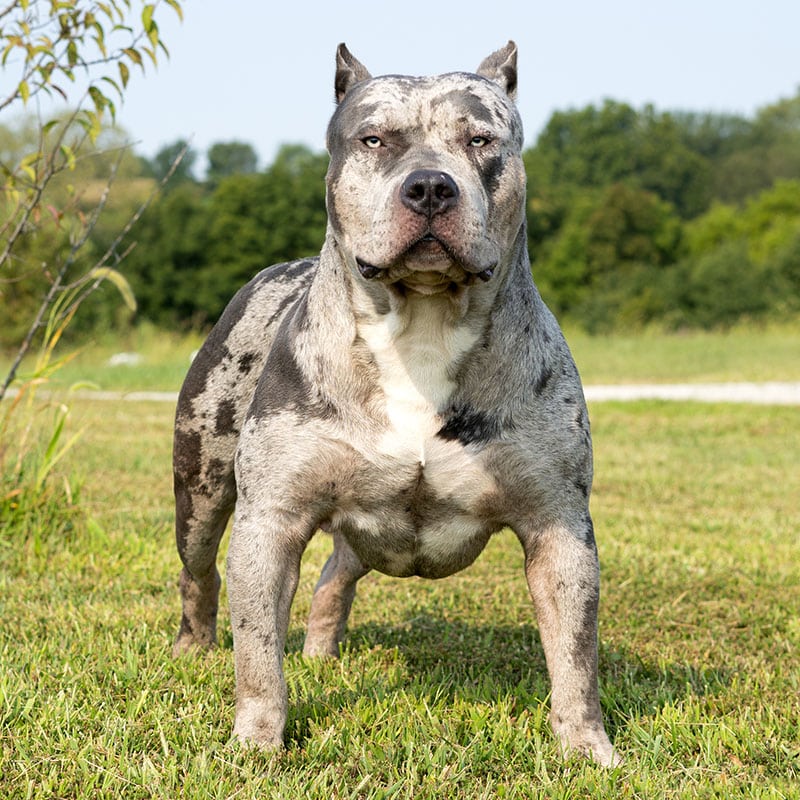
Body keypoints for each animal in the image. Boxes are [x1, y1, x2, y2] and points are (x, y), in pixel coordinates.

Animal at [170, 43, 620, 768]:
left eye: (480, 140)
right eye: (374, 139)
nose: (431, 186)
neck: (423, 324)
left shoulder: (558, 528)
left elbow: (575, 656)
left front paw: (586, 749)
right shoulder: (270, 521)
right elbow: (258, 653)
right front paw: (258, 742)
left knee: (335, 573)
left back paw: (321, 653)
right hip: (203, 485)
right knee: (200, 572)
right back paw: (193, 647)